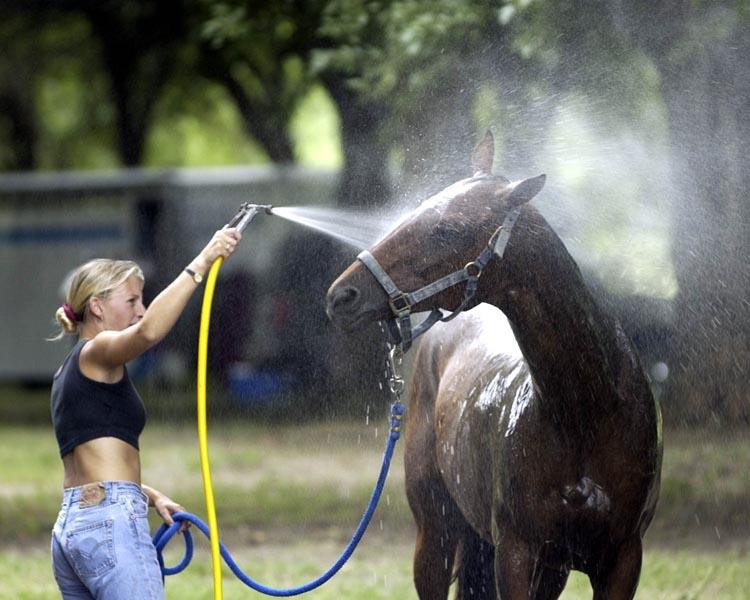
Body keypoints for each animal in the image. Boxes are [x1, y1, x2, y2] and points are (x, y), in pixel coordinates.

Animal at [326, 132, 662, 599]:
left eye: (447, 229)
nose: (342, 296)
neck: (586, 411)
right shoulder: (516, 552)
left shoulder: (621, 558)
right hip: (434, 536)